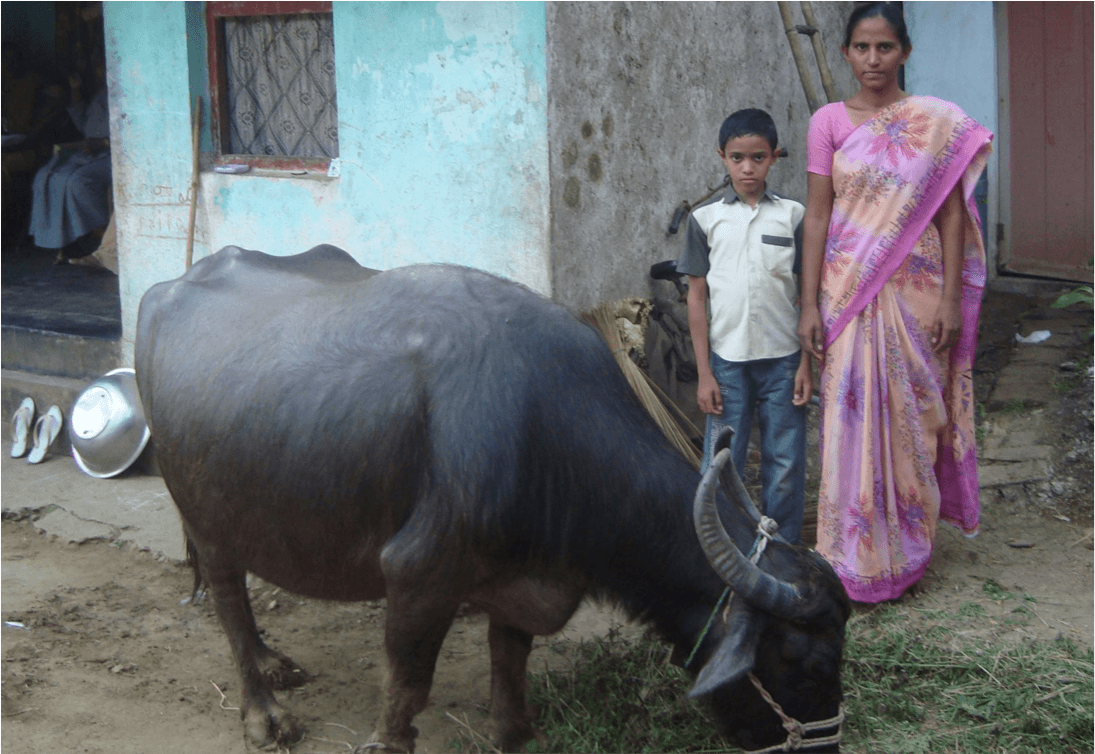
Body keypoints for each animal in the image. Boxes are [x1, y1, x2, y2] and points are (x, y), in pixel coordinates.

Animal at [135, 245, 851, 753]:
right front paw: (391, 740)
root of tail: (167, 289)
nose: (826, 747)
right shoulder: (417, 574)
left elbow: (510, 662)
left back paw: (271, 662)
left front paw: (516, 732)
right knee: (228, 597)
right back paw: (263, 714)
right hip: (204, 515)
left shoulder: (524, 575)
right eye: (806, 664)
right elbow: (408, 684)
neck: (546, 429)